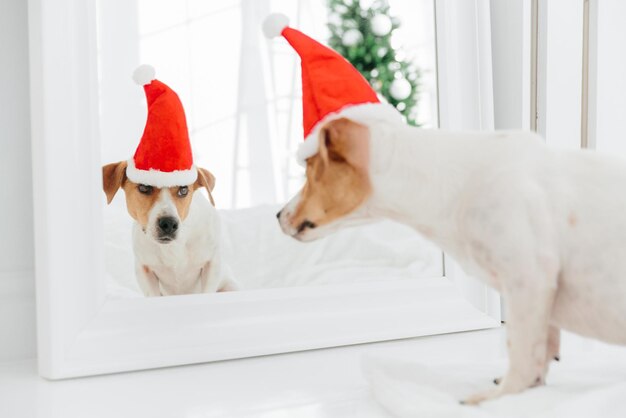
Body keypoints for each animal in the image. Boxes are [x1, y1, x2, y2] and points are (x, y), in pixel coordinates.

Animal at [103, 162, 235, 296]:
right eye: (144, 187)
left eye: (183, 190)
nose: (169, 223)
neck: (173, 247)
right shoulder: (145, 270)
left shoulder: (211, 264)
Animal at [278, 116, 624, 404]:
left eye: (309, 170)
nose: (277, 215)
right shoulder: (543, 293)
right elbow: (544, 348)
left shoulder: (529, 279)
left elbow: (521, 354)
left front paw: (499, 397)